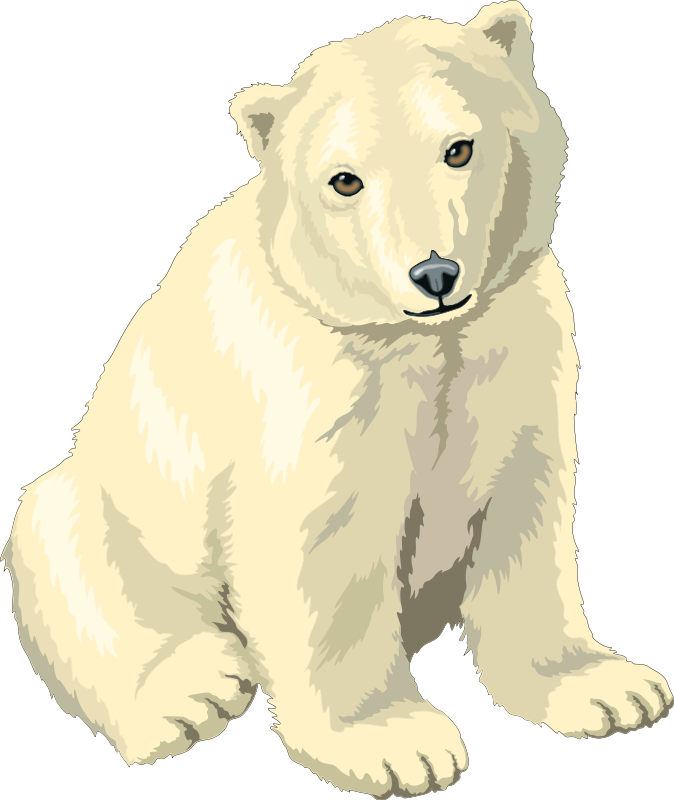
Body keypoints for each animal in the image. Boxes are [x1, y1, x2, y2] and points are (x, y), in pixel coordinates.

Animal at [3, 1, 671, 796]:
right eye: (345, 180)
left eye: (459, 148)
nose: (435, 273)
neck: (422, 339)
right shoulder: (316, 381)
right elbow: (324, 543)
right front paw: (397, 744)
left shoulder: (516, 343)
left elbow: (525, 509)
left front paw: (609, 689)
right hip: (119, 503)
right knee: (66, 542)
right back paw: (190, 695)